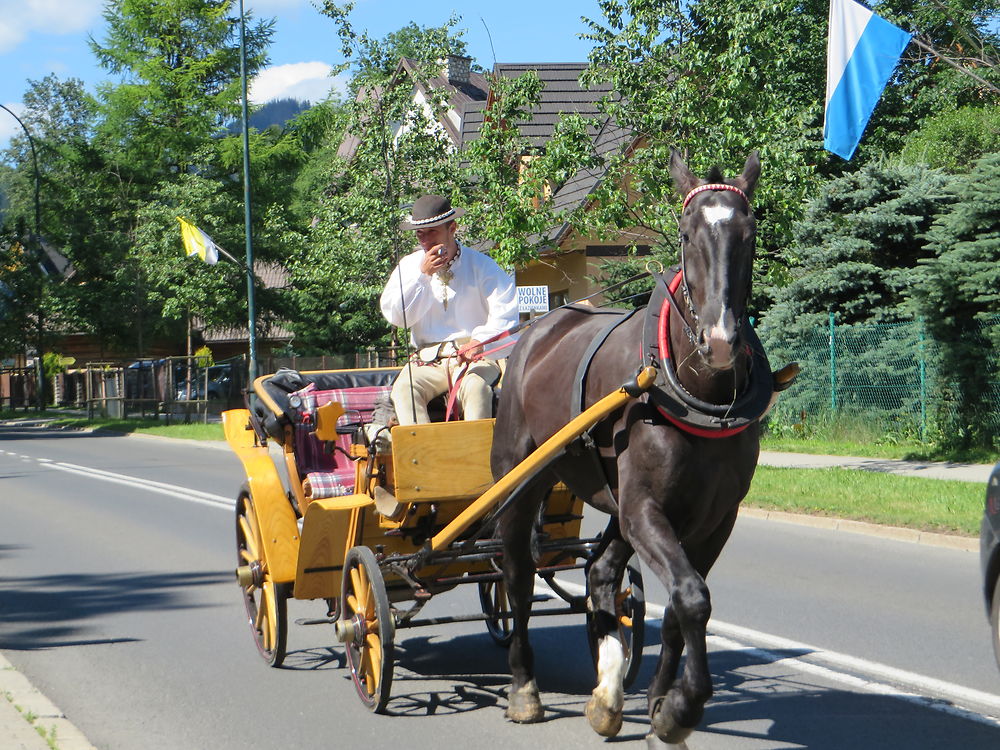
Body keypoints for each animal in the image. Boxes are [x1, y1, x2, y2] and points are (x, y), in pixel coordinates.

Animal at [490, 151, 764, 748]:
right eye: (686, 233)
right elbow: (691, 597)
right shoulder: (646, 509)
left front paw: (661, 706)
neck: (695, 391)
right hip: (522, 481)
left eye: (749, 233)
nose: (721, 342)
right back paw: (524, 686)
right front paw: (683, 706)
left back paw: (608, 691)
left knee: (601, 573)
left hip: (618, 503)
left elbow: (682, 606)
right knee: (518, 578)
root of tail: (538, 328)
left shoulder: (715, 517)